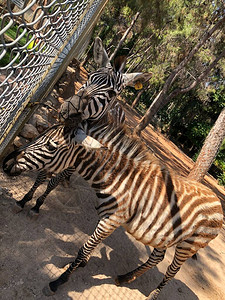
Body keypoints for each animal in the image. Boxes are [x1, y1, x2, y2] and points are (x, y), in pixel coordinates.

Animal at [2, 119, 223, 298]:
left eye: (50, 145)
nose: (5, 163)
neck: (115, 178)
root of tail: (218, 201)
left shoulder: (112, 220)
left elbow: (84, 248)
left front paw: (59, 281)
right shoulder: (106, 218)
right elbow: (90, 244)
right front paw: (80, 263)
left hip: (188, 246)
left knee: (171, 272)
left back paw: (152, 296)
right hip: (166, 235)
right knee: (157, 257)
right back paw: (125, 278)